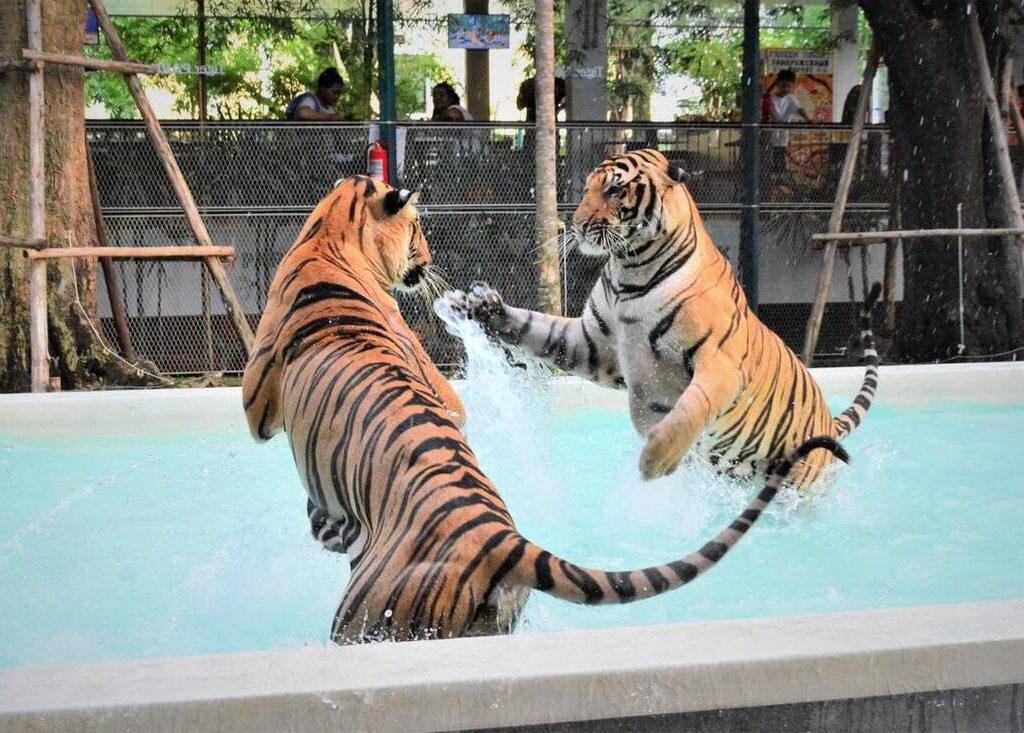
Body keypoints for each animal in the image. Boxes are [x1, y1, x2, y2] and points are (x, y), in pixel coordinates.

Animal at [241, 175, 847, 643]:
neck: (330, 235)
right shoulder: (446, 392)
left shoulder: (257, 402)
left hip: (364, 618)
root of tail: (500, 539)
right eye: (417, 231)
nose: (431, 262)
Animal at [441, 148, 879, 491]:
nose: (578, 224)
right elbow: (536, 328)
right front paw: (479, 306)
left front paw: (656, 460)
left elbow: (692, 407)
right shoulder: (593, 344)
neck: (629, 270)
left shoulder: (719, 364)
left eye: (614, 189)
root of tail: (828, 420)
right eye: (587, 188)